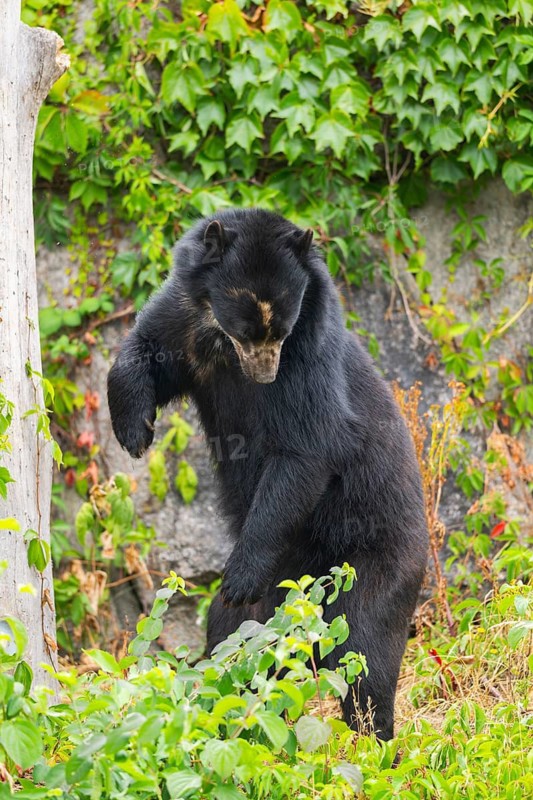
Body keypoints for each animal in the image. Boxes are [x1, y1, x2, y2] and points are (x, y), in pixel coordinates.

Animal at [107, 208, 428, 741]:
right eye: (245, 330)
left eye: (283, 330)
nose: (265, 375)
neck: (220, 343)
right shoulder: (184, 317)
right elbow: (146, 347)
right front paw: (133, 431)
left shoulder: (311, 357)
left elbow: (305, 447)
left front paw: (239, 575)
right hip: (279, 595)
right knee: (234, 637)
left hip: (375, 560)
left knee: (364, 650)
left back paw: (372, 739)